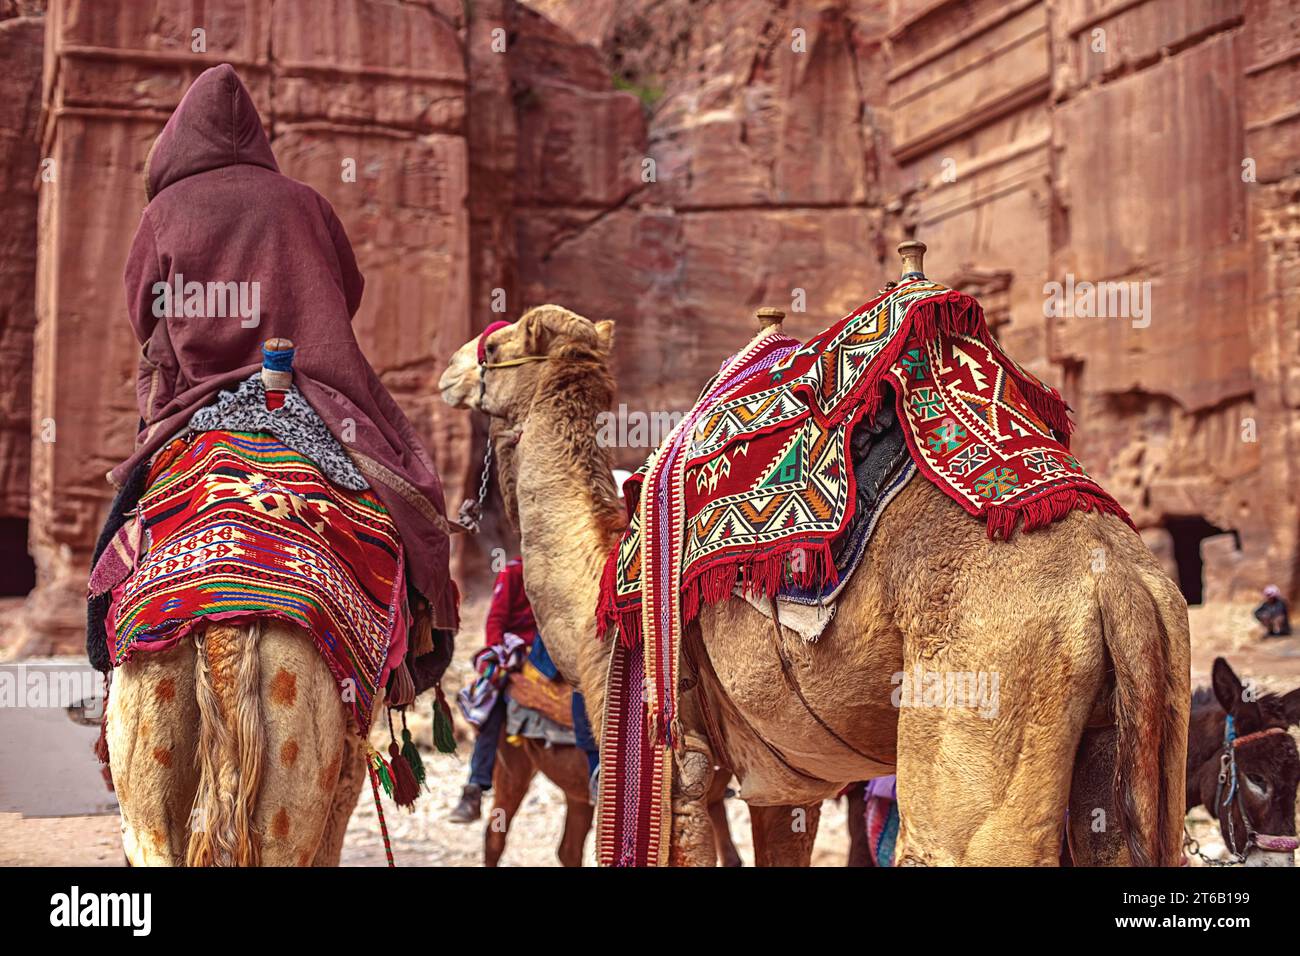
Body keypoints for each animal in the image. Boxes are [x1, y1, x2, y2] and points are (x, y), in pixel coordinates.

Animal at [441, 286, 1190, 868]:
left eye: (497, 343)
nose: (447, 369)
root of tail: (1117, 580)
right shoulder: (784, 781)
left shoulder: (661, 754)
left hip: (983, 694)